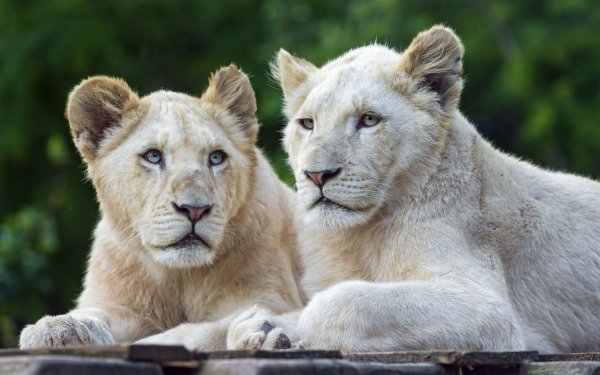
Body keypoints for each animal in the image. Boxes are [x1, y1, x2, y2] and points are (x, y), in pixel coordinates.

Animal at [19, 65, 304, 352]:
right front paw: (57, 327)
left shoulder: (269, 295)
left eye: (216, 158)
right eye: (153, 156)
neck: (177, 277)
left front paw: (260, 332)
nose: (195, 210)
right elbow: (94, 314)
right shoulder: (115, 305)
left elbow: (188, 333)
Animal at [239, 25, 600, 354]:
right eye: (308, 124)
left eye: (368, 120)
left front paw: (285, 330)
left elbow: (340, 304)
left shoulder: (490, 311)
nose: (316, 175)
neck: (356, 238)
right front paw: (258, 329)